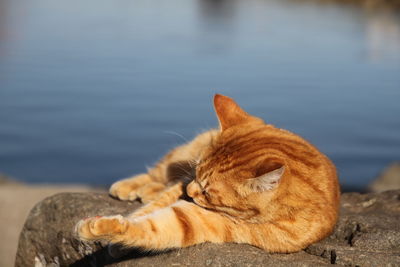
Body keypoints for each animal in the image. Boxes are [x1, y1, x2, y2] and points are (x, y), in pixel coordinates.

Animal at [76, 93, 340, 253]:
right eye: (196, 172)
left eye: (207, 192)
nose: (189, 191)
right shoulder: (182, 180)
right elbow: (149, 210)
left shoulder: (202, 222)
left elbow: (150, 226)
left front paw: (107, 232)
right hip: (181, 155)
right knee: (158, 173)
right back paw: (133, 186)